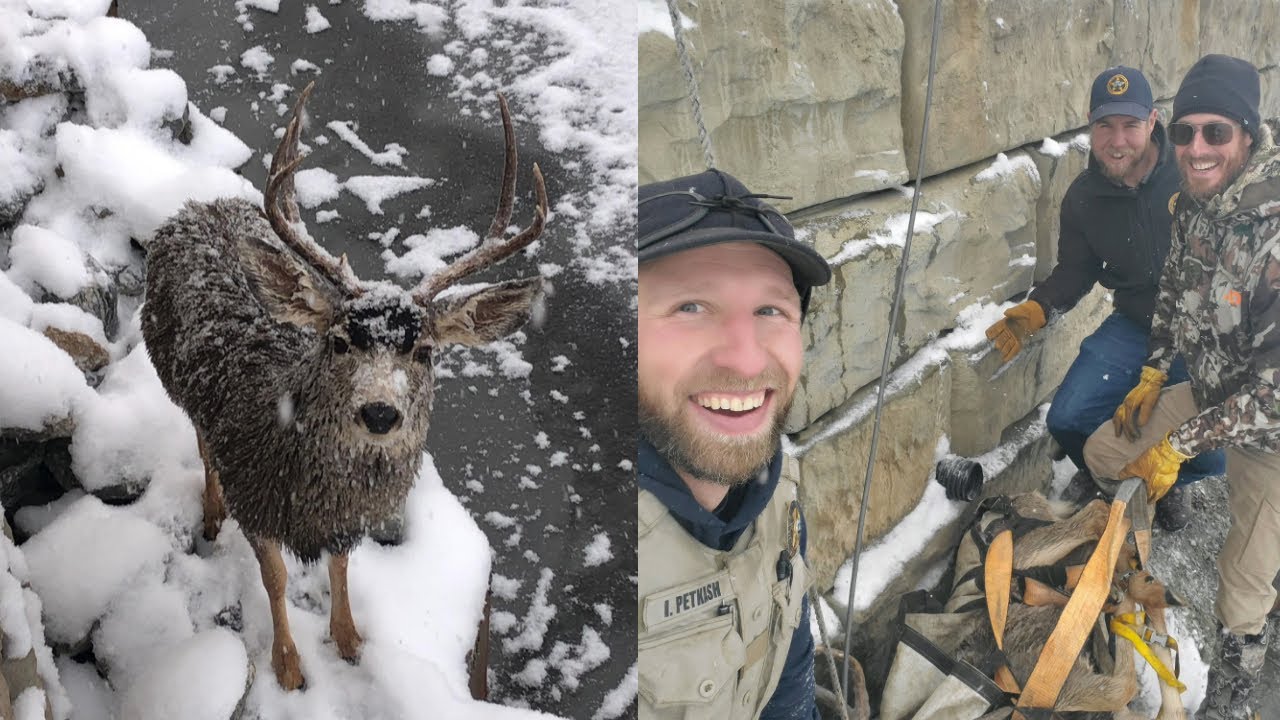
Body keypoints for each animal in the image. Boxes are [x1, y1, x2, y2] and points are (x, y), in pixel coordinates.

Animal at [141, 82, 547, 691]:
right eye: (338, 342)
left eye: (424, 351)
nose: (379, 413)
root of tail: (198, 207)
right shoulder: (254, 492)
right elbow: (276, 577)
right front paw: (288, 667)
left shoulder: (346, 521)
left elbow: (342, 564)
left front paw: (352, 640)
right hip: (174, 378)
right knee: (202, 444)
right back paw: (211, 516)